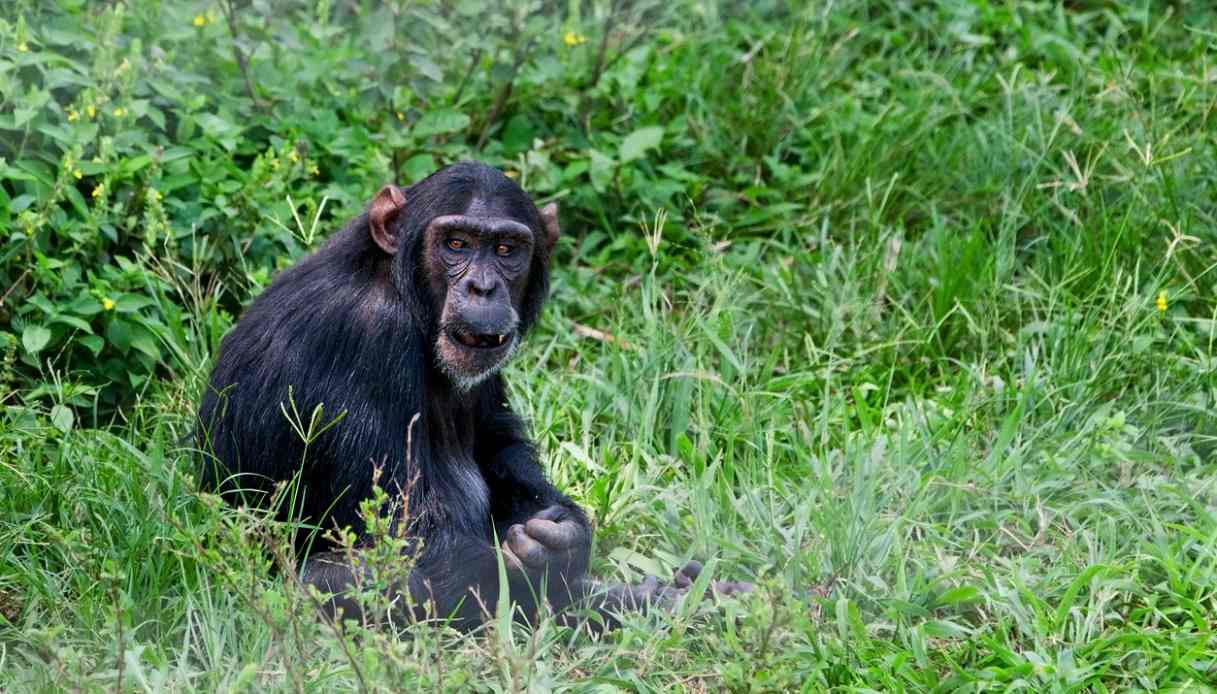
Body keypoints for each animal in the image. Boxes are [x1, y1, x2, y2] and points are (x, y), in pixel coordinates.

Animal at [198, 160, 744, 628]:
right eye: (456, 244)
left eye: (506, 250)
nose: (483, 287)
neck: (403, 294)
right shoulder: (366, 336)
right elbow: (406, 540)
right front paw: (619, 591)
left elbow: (497, 444)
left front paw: (565, 537)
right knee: (342, 580)